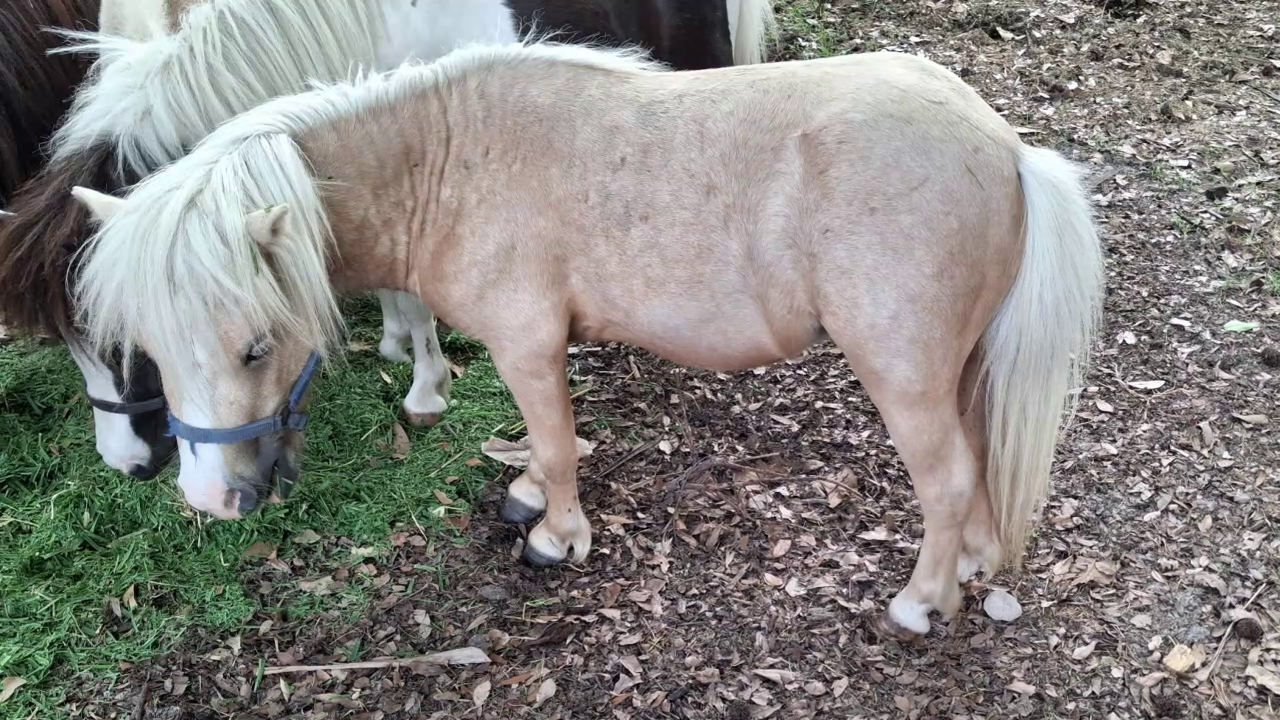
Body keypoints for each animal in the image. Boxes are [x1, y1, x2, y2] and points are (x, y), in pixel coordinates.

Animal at [69, 41, 1105, 640]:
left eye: (255, 346)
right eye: (150, 350)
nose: (209, 499)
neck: (449, 160)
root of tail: (1007, 149)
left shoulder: (526, 343)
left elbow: (562, 442)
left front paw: (556, 536)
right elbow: (545, 440)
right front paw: (528, 492)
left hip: (902, 374)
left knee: (946, 479)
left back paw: (923, 602)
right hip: (958, 367)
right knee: (976, 461)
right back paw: (970, 568)